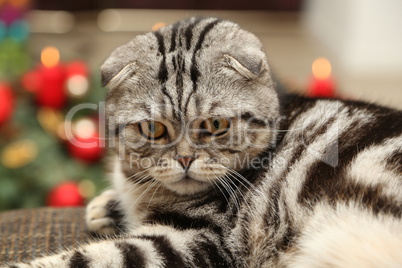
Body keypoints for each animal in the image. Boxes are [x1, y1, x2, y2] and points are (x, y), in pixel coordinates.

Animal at [3, 17, 402, 268]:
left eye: (216, 124)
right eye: (153, 129)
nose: (184, 160)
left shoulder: (194, 240)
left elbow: (86, 258)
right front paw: (107, 206)